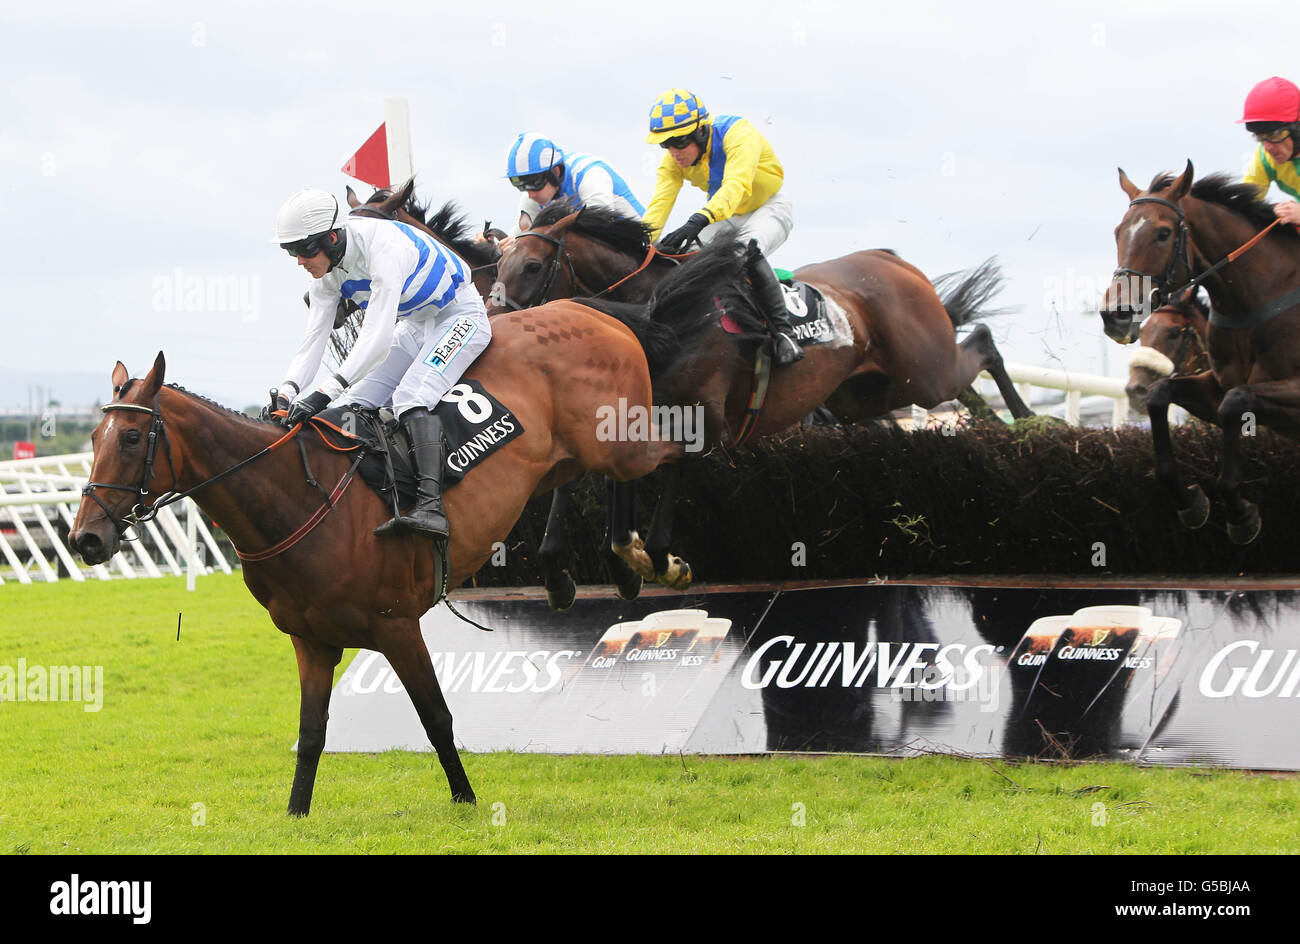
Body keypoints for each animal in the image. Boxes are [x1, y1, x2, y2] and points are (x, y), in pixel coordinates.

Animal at [68, 299, 702, 816]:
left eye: (131, 439)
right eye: (94, 438)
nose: (85, 539)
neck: (301, 499)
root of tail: (592, 311)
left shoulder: (397, 626)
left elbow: (436, 716)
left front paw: (466, 799)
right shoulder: (310, 640)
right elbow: (312, 732)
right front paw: (296, 812)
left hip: (619, 438)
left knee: (680, 451)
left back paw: (656, 557)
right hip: (569, 456)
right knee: (594, 479)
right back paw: (602, 568)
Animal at [1102, 163, 1300, 546]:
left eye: (1163, 233)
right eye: (1118, 231)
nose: (1114, 315)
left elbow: (1236, 401)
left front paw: (1240, 515)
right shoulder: (1216, 388)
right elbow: (1162, 394)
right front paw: (1191, 502)